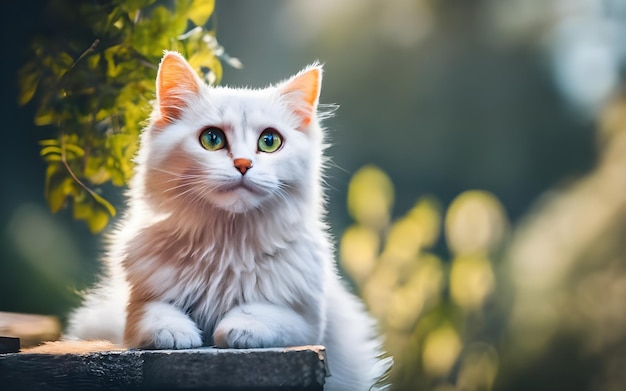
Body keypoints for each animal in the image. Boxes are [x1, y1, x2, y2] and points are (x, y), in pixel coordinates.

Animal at [68, 51, 390, 388]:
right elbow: (154, 314)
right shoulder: (136, 306)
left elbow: (262, 313)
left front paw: (237, 329)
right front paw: (176, 333)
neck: (226, 245)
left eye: (270, 141)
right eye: (212, 139)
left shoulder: (308, 322)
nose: (243, 164)